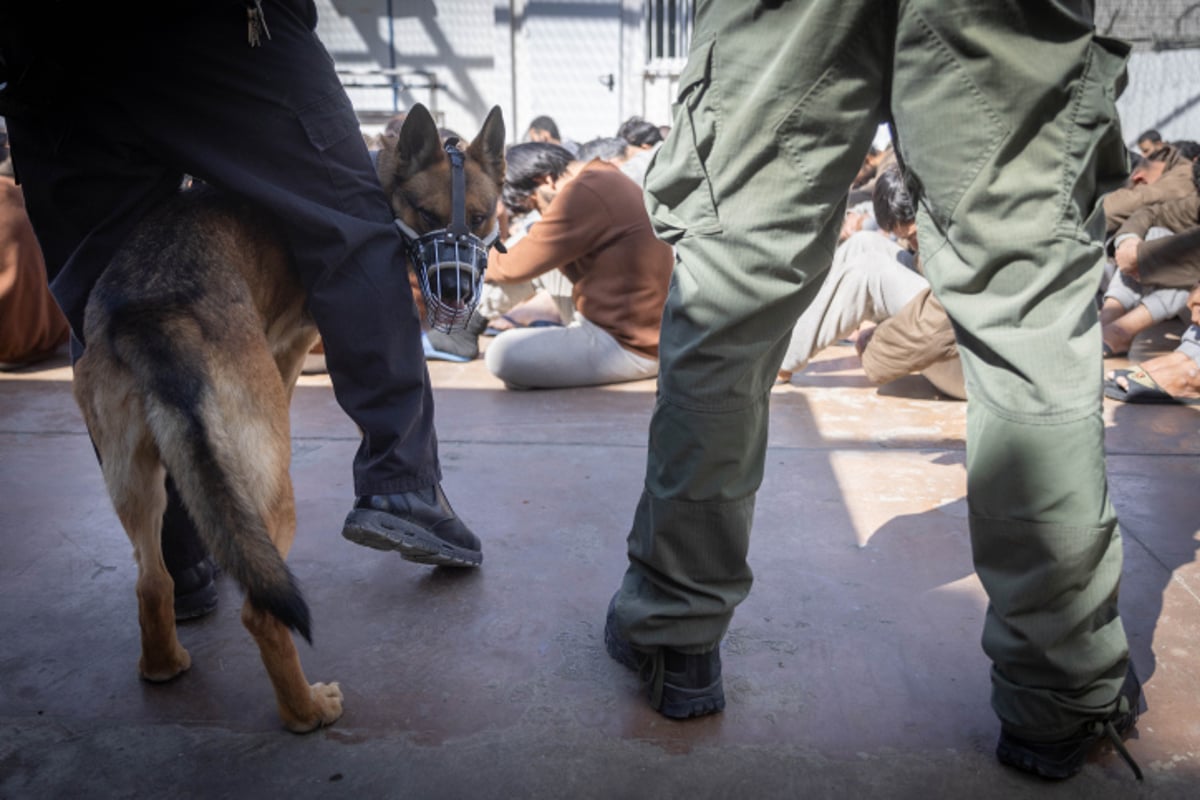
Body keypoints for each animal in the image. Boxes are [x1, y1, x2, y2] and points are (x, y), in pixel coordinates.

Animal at [71, 101, 501, 734]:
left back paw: (164, 664)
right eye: (425, 213)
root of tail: (157, 314)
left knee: (153, 581)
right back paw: (305, 710)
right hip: (273, 488)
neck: (380, 176)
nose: (454, 291)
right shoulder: (294, 349)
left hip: (131, 478)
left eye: (479, 216)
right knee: (262, 615)